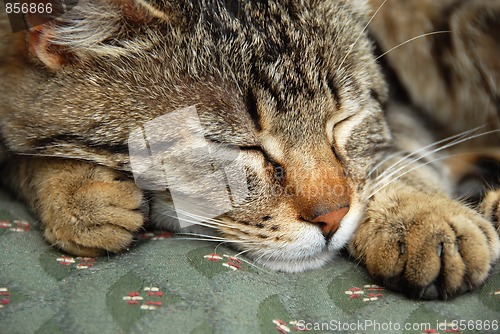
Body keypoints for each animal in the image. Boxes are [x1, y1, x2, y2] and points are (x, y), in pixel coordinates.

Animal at [0, 0, 498, 300]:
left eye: (343, 121)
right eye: (234, 145)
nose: (333, 218)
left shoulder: (402, 113)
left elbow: (400, 157)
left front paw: (424, 215)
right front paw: (74, 194)